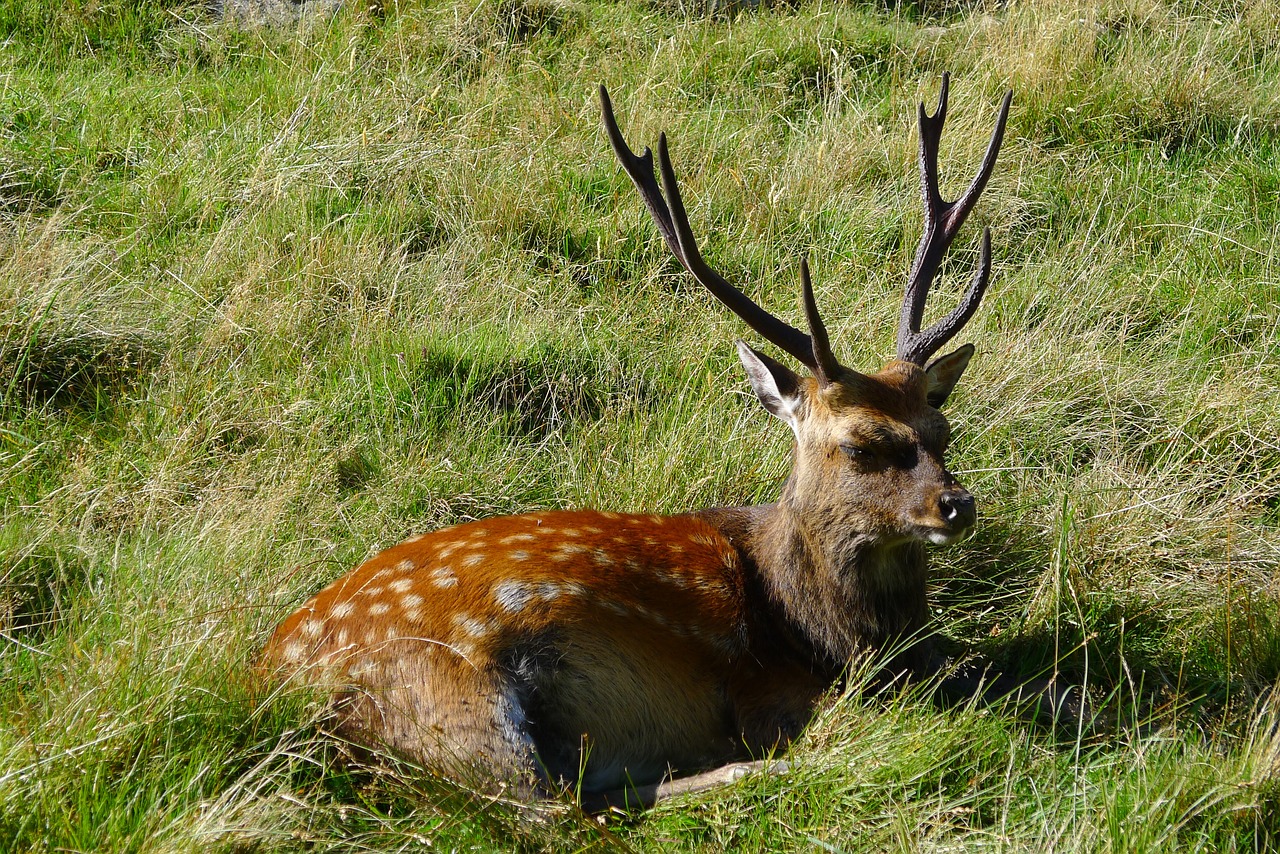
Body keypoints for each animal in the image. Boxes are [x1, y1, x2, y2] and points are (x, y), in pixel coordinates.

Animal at [262, 73, 1039, 809]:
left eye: (942, 427)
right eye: (859, 443)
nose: (956, 505)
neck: (821, 630)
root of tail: (267, 684)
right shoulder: (772, 692)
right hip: (447, 693)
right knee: (549, 811)